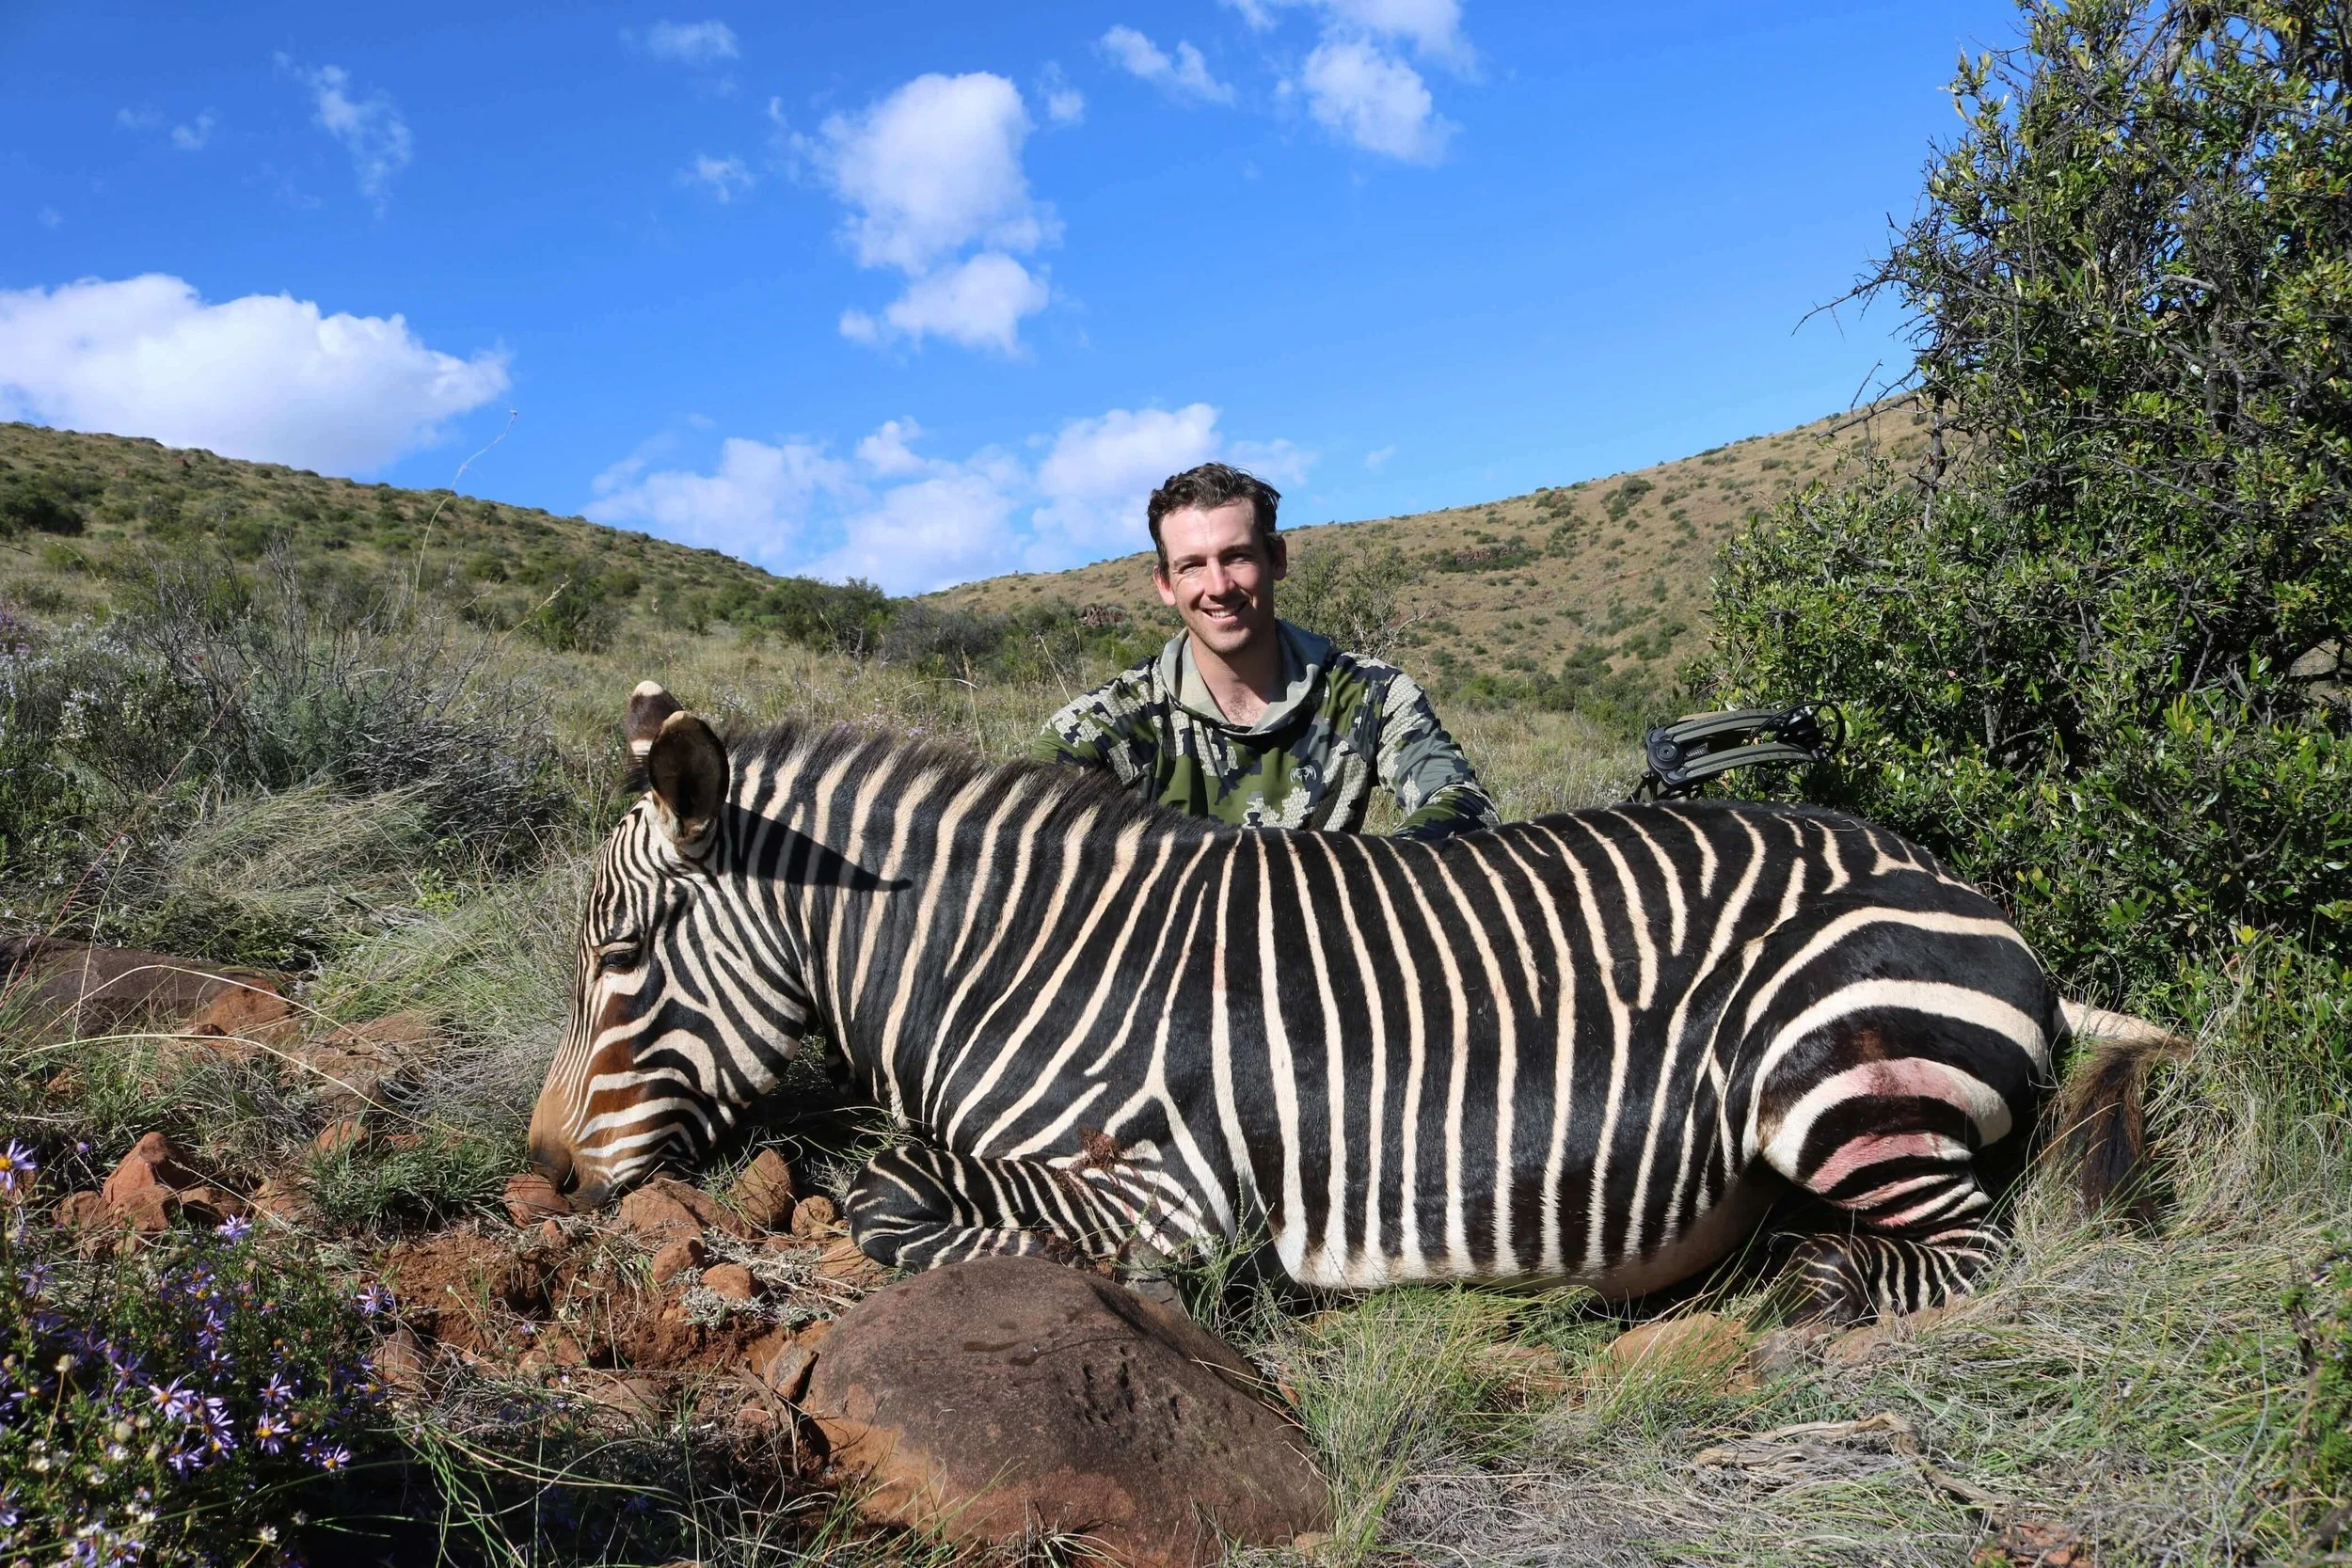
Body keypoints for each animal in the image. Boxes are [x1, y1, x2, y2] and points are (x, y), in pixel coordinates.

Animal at [526, 682, 2175, 1323]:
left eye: (622, 958)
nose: (542, 1169)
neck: (1018, 960)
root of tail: (1963, 886)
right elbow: (874, 1175)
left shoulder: (1176, 1182)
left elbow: (892, 1199)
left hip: (1826, 1068)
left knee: (1964, 1251)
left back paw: (1797, 1276)